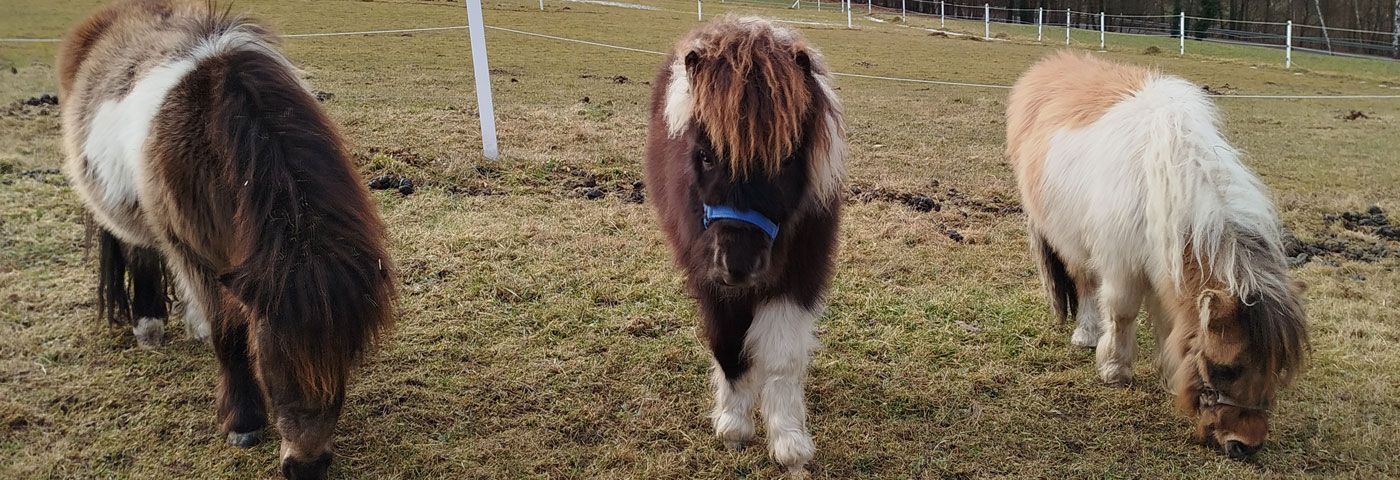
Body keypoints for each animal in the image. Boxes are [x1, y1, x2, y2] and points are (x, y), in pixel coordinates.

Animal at [58, 1, 395, 477]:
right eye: (271, 358)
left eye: (347, 355)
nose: (306, 467)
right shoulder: (196, 254)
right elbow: (228, 333)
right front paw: (243, 422)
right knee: (141, 254)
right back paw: (149, 324)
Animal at [644, 16, 846, 475]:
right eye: (704, 155)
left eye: (787, 158)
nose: (738, 265)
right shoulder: (708, 274)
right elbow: (728, 342)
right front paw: (734, 425)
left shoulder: (799, 273)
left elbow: (783, 356)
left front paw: (789, 443)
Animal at [1005, 52, 1308, 458]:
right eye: (1223, 368)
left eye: (1276, 367)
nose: (1245, 445)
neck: (1170, 184)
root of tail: (1049, 66)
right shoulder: (1122, 265)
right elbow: (1121, 313)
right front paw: (1114, 370)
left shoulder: (1167, 270)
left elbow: (1170, 324)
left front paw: (1168, 371)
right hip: (1069, 240)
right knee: (1085, 284)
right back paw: (1086, 333)